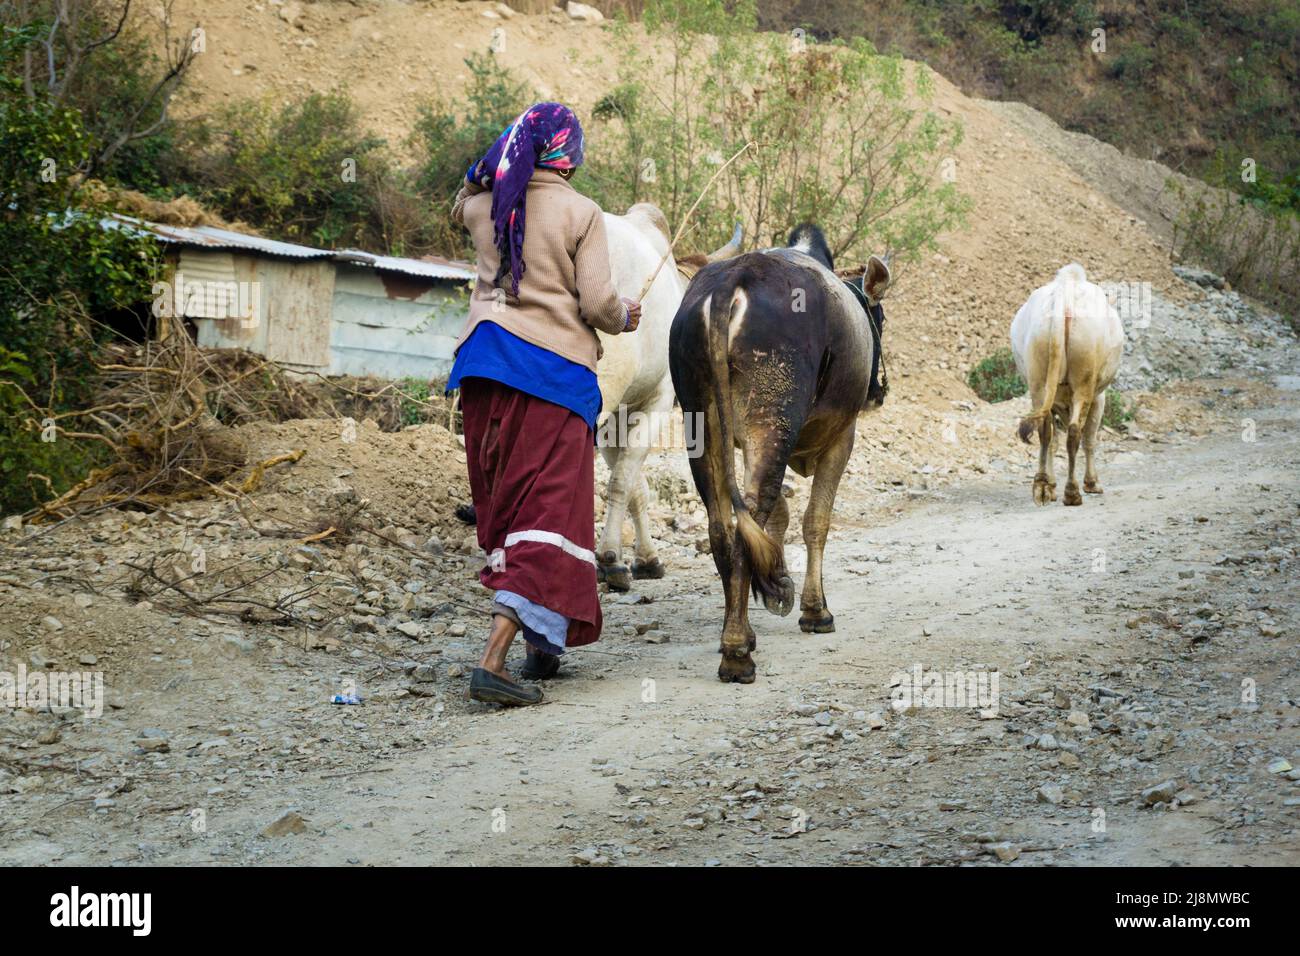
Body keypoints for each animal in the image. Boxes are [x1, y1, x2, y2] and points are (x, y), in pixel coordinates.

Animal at [595, 205, 738, 587]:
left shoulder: (617, 419)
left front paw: (646, 558)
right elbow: (623, 480)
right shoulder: (657, 399)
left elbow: (634, 485)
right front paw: (612, 557)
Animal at [670, 222, 894, 686]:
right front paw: (815, 609)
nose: (877, 391)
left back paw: (739, 632)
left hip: (701, 425)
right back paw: (737, 653)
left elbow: (781, 518)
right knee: (751, 516)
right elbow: (815, 521)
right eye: (880, 316)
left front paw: (778, 589)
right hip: (772, 421)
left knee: (723, 526)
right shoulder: (841, 436)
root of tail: (732, 282)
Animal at [1008, 261, 1123, 509]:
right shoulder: (1100, 397)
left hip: (1038, 378)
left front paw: (1051, 486)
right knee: (1075, 432)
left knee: (1044, 429)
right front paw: (1092, 483)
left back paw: (1042, 486)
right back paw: (1072, 492)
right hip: (1085, 378)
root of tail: (1064, 296)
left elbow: (1052, 439)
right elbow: (1090, 438)